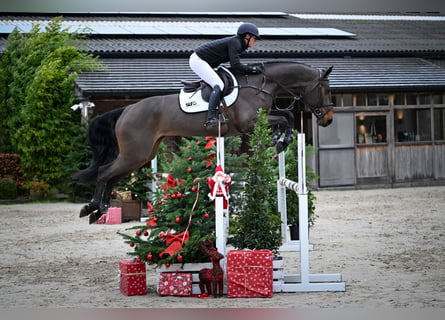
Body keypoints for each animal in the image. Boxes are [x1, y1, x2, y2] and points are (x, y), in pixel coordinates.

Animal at [74, 60, 332, 222]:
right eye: (325, 90)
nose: (328, 119)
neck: (262, 85)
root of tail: (127, 109)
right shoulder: (248, 124)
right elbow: (286, 117)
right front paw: (282, 140)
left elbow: (287, 116)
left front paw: (281, 139)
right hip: (134, 154)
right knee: (105, 173)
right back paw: (92, 207)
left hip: (142, 154)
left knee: (112, 175)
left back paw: (100, 210)